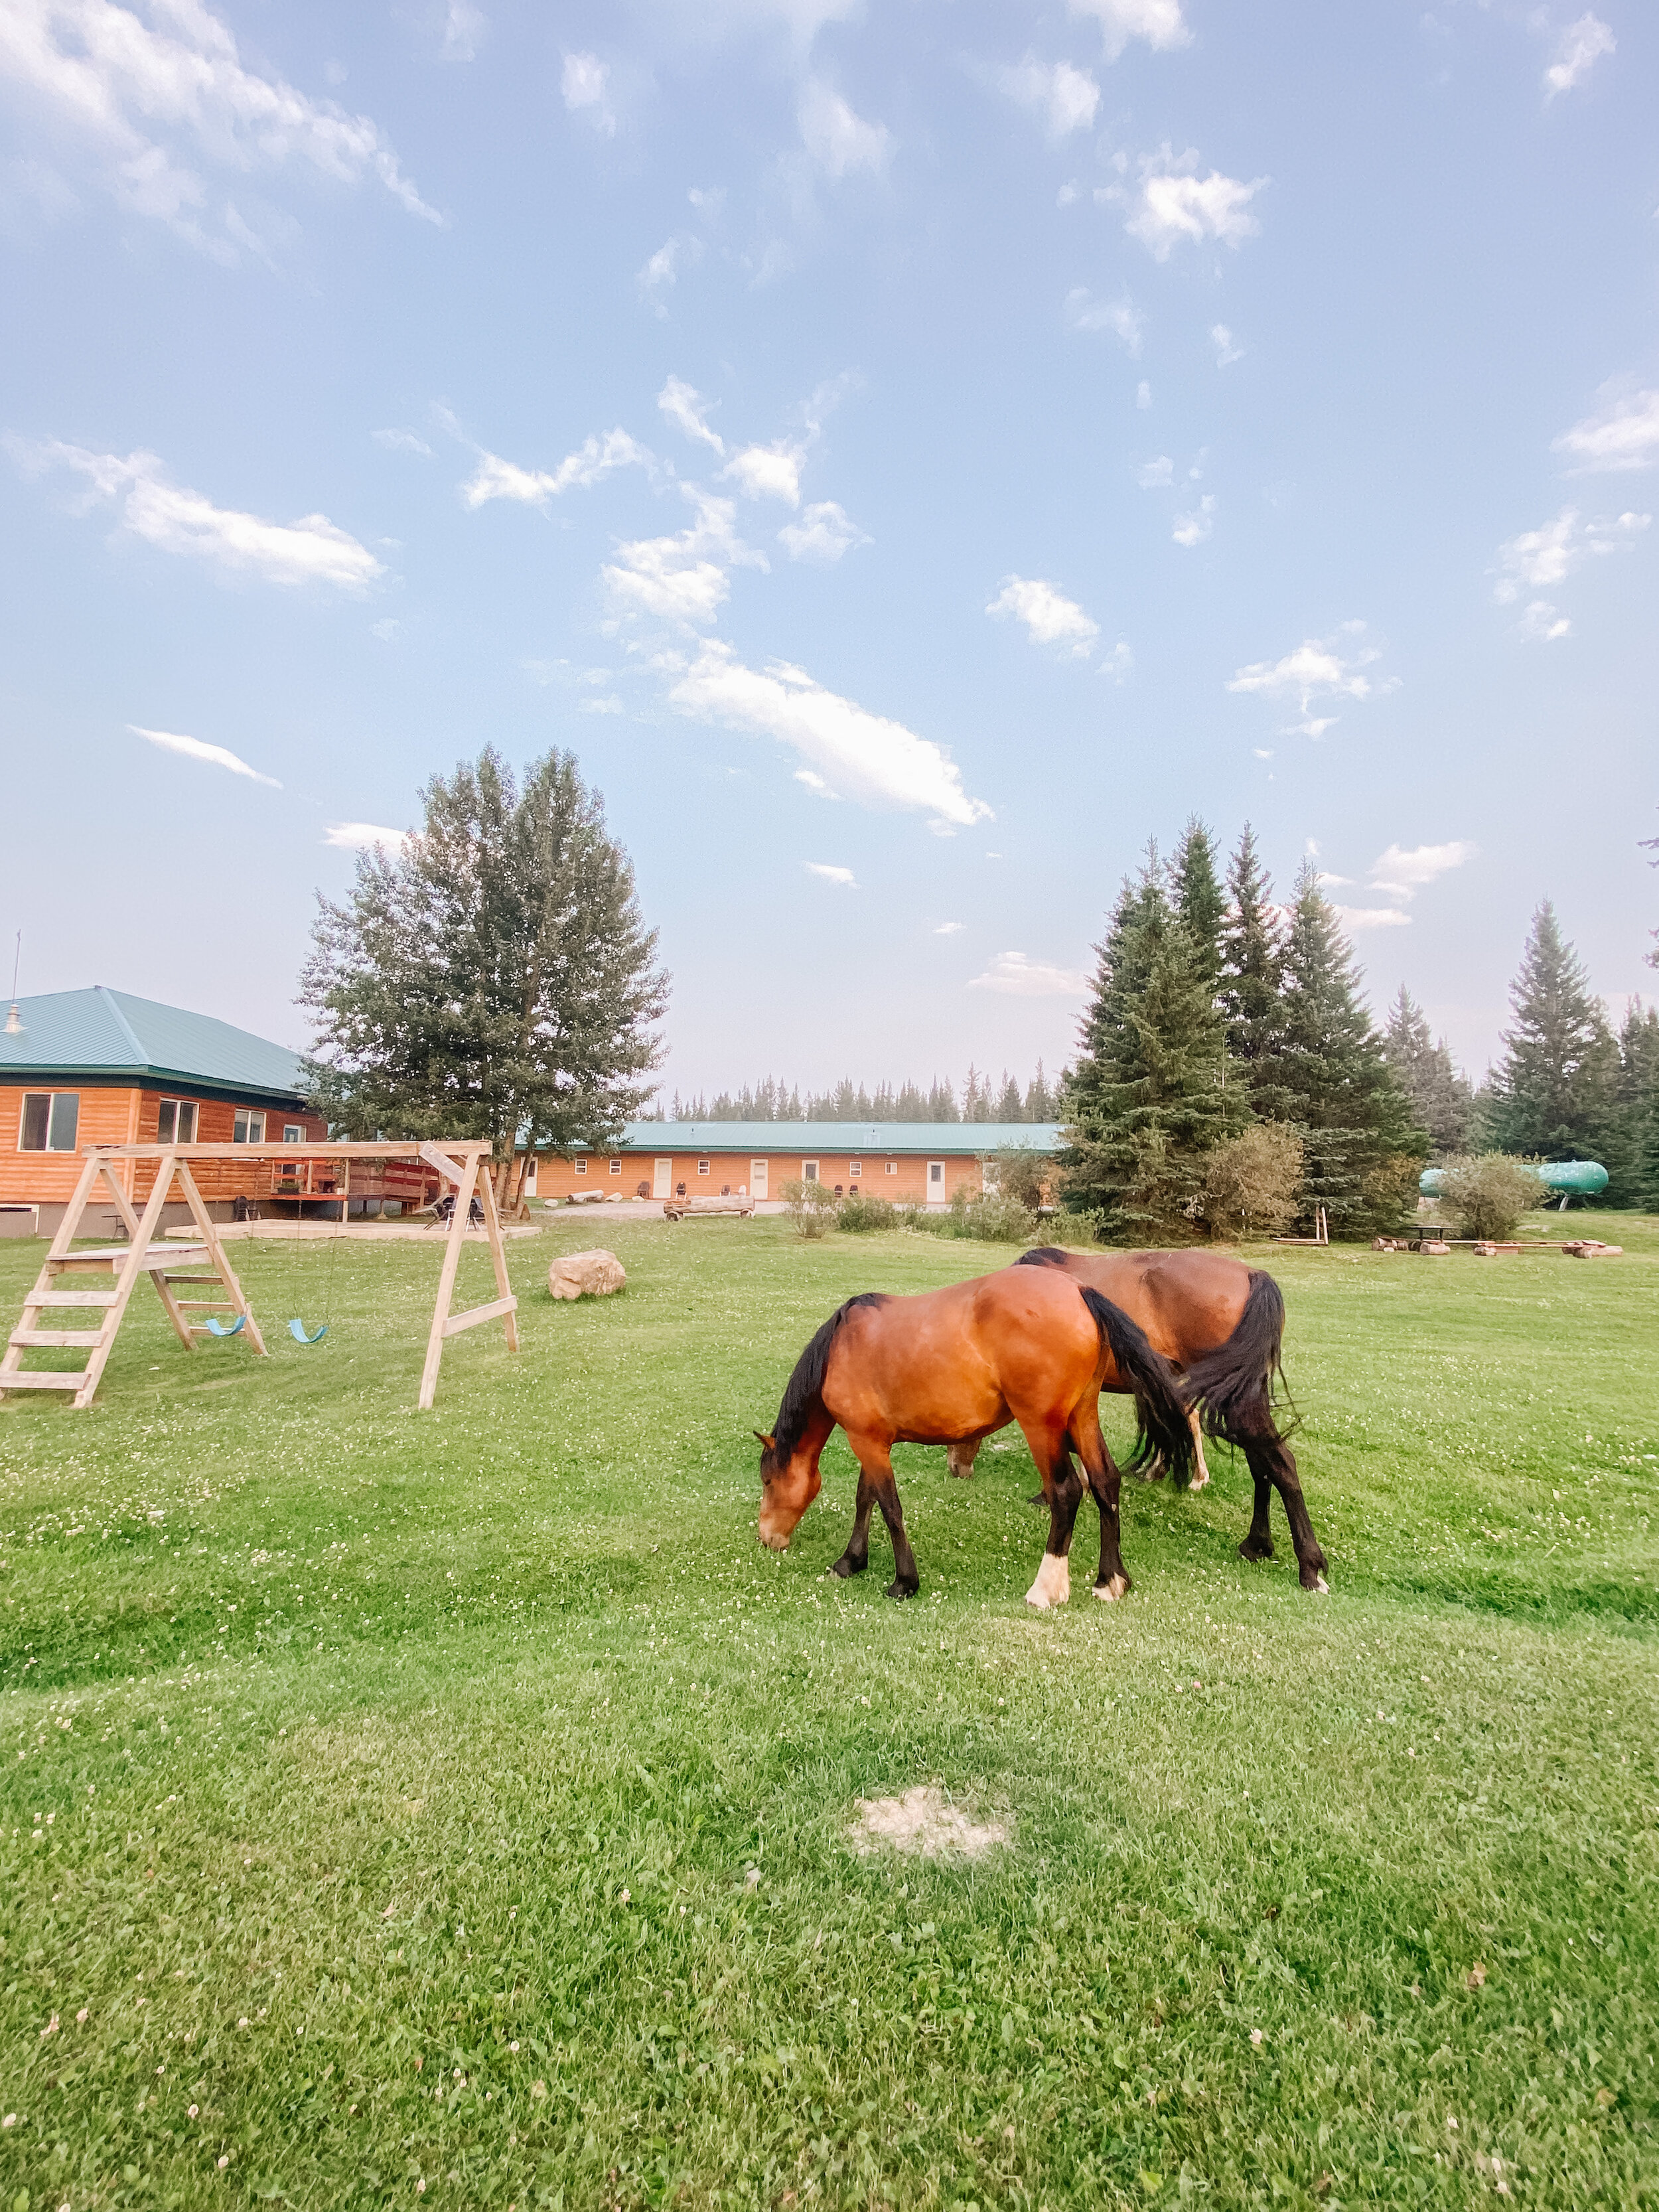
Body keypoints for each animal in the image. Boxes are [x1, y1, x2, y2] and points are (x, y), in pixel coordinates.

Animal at [752, 1265, 1194, 1610]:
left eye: (769, 1481)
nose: (767, 1538)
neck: (840, 1349)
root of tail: (1080, 1291)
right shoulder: (874, 1441)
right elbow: (867, 1499)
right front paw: (851, 1561)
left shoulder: (866, 1441)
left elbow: (889, 1508)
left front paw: (903, 1582)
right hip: (1082, 1417)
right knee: (1105, 1482)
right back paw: (1111, 1580)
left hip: (1043, 1427)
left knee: (1066, 1492)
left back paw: (1046, 1589)